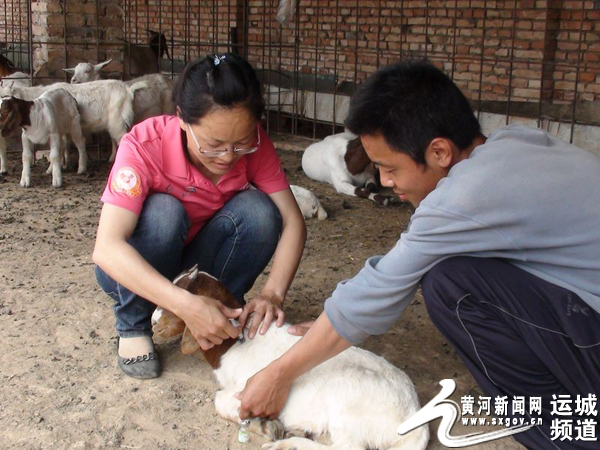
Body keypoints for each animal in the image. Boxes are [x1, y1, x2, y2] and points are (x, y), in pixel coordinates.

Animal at [152, 268, 428, 450]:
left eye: (181, 301)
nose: (154, 323)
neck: (235, 343)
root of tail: (414, 424)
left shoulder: (246, 388)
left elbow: (220, 400)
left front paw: (265, 427)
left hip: (348, 409)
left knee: (348, 448)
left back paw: (289, 443)